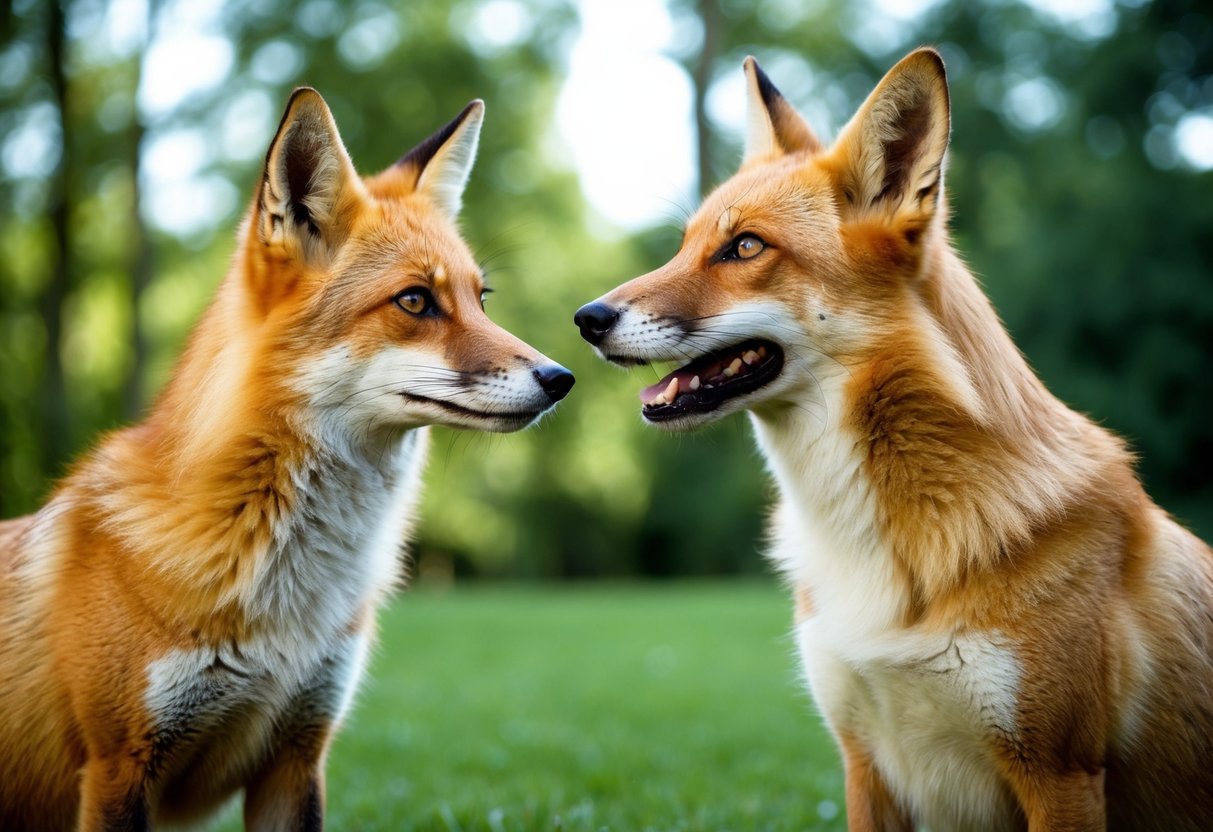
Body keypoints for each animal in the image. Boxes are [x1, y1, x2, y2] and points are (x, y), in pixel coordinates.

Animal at [575, 49, 1213, 830]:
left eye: (744, 246)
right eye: (685, 246)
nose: (586, 318)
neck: (874, 556)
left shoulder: (1060, 772)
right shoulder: (864, 760)